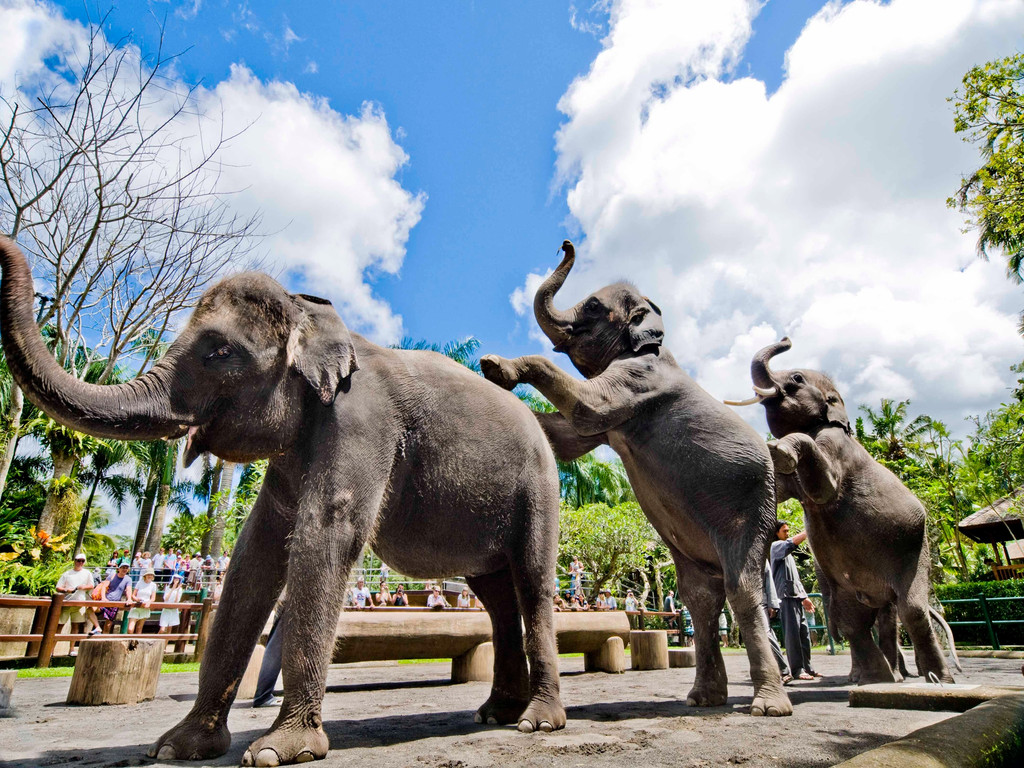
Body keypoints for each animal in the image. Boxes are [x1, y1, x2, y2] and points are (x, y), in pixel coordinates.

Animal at [0, 236, 566, 766]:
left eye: (219, 352)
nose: (9, 248)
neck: (310, 317)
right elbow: (255, 552)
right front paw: (177, 748)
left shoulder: (361, 422)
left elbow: (324, 535)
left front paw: (279, 751)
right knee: (495, 595)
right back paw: (495, 713)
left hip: (539, 488)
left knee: (532, 583)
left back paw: (537, 722)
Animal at [480, 240, 791, 717]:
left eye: (592, 306)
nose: (566, 244)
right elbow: (567, 439)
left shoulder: (640, 381)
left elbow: (588, 408)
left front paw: (495, 368)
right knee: (700, 596)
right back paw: (702, 699)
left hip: (751, 506)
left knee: (741, 588)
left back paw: (767, 706)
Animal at [726, 337, 960, 684]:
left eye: (796, 378)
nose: (786, 339)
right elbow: (780, 490)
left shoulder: (836, 446)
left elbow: (824, 488)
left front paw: (777, 449)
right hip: (848, 583)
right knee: (853, 620)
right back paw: (876, 679)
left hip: (915, 552)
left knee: (910, 610)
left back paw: (935, 680)